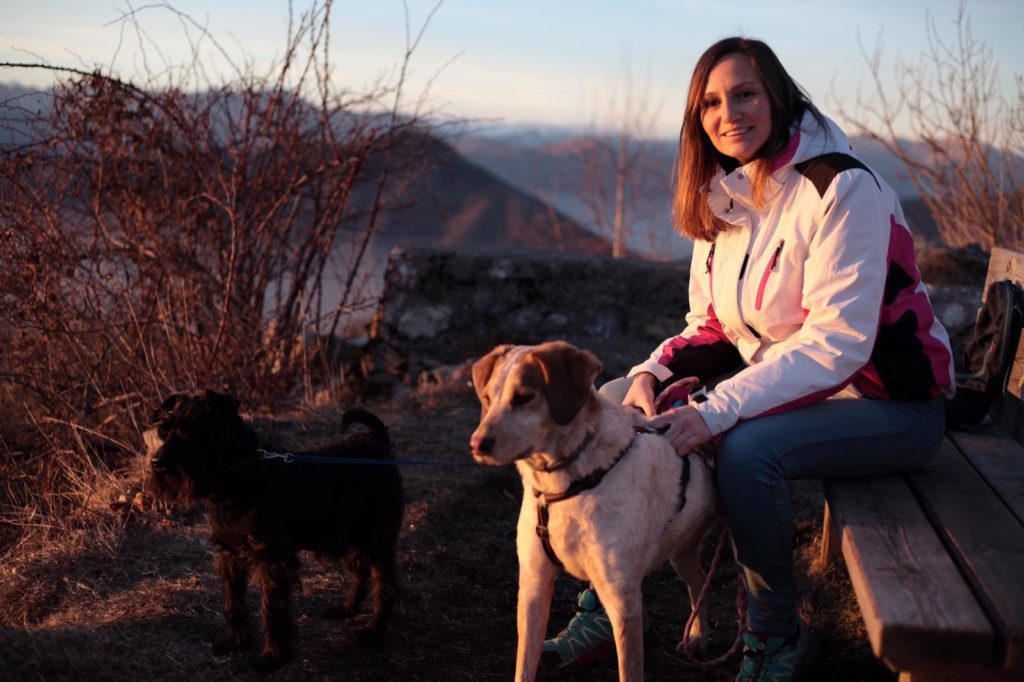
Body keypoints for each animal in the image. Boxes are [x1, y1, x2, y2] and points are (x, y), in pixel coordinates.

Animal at [146, 391, 405, 667]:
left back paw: (374, 633)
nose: (158, 462)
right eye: (163, 431)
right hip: (344, 537)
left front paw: (272, 657)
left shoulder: (271, 559)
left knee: (386, 584)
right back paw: (346, 609)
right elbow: (232, 602)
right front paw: (236, 642)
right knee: (360, 571)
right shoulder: (228, 554)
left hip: (376, 539)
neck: (236, 480)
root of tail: (377, 441)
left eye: (193, 429)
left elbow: (272, 607)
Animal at [468, 339, 716, 679]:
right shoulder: (533, 585)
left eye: (524, 397)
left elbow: (629, 670)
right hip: (680, 551)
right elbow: (524, 664)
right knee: (698, 580)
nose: (477, 444)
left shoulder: (621, 600)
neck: (564, 487)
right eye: (487, 398)